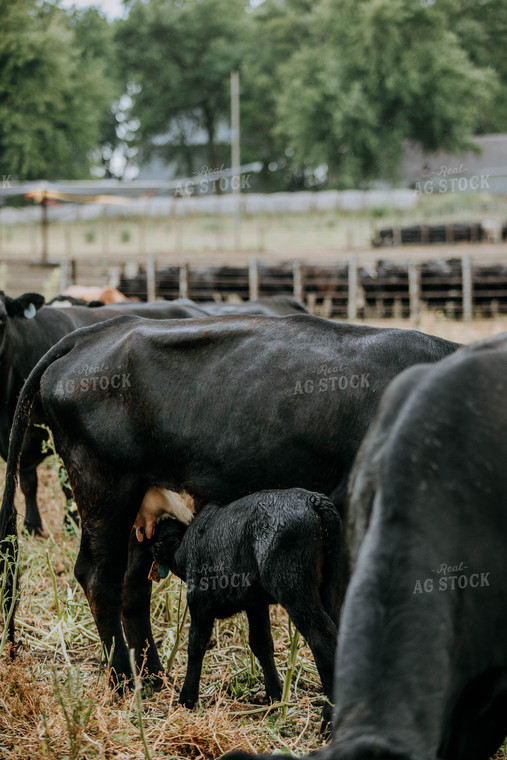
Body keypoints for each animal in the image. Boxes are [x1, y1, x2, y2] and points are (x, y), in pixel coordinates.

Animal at [151, 490, 342, 720]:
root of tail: (314, 500)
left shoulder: (199, 603)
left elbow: (196, 645)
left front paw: (187, 699)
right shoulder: (255, 604)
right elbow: (261, 643)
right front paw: (274, 695)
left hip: (294, 588)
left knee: (322, 637)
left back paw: (329, 714)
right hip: (330, 585)